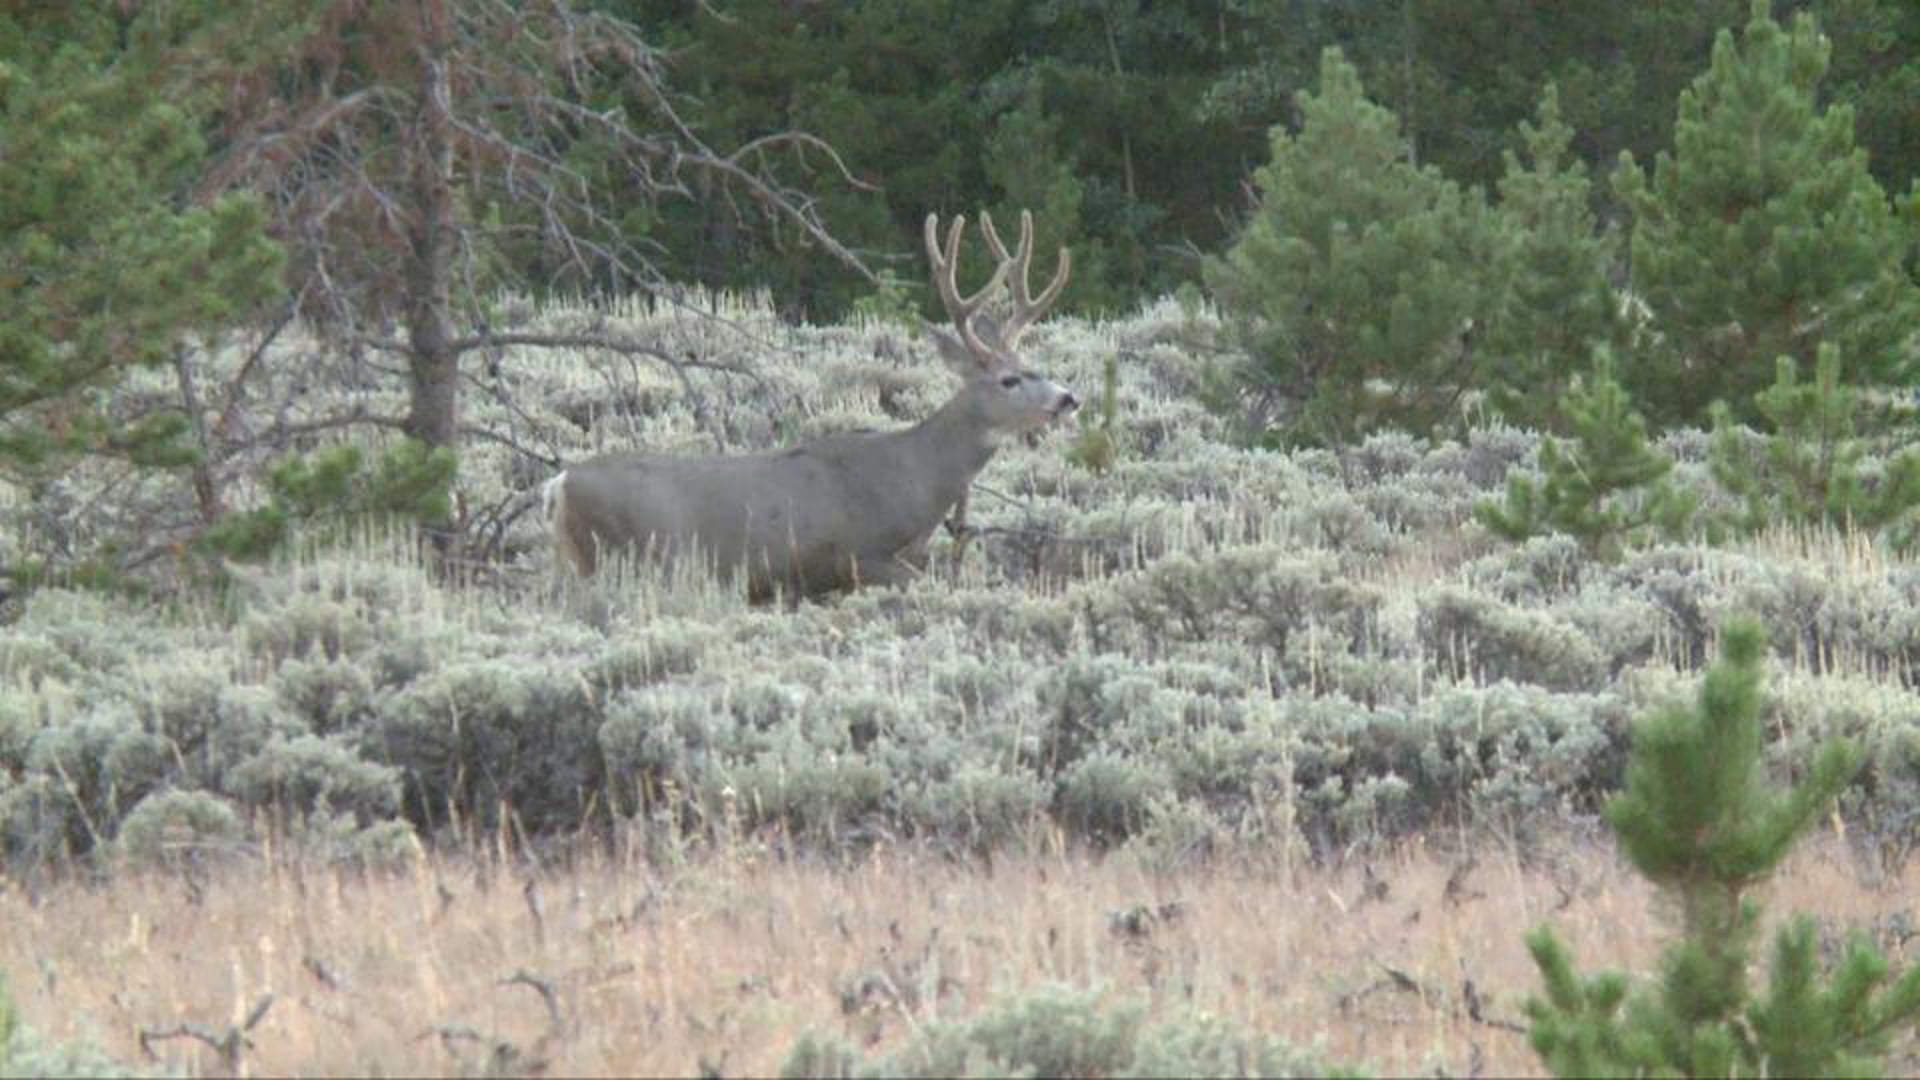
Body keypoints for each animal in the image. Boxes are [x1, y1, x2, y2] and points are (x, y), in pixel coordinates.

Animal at [542, 210, 1076, 601]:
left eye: (1033, 365)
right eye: (1009, 380)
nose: (1068, 398)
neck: (915, 477)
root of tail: (560, 484)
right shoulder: (859, 553)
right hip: (633, 556)